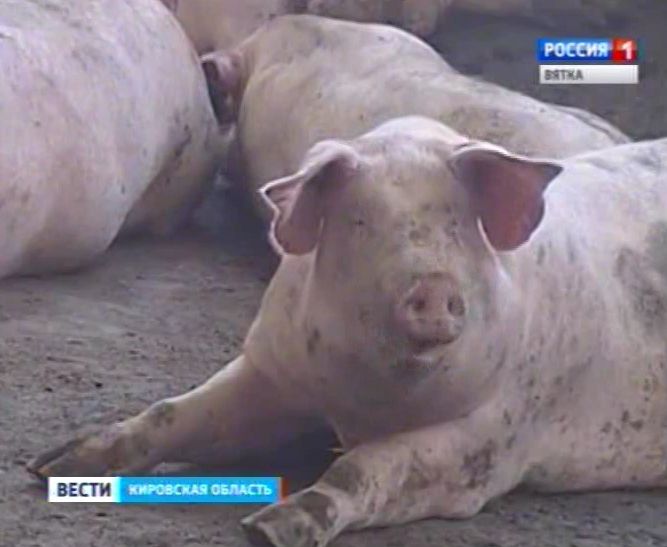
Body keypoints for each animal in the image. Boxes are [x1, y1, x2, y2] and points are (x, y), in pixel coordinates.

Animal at [28, 114, 667, 547]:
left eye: (458, 227)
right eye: (362, 222)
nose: (433, 284)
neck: (360, 403)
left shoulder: (492, 439)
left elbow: (367, 469)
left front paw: (267, 528)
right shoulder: (273, 368)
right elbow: (174, 414)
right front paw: (52, 465)